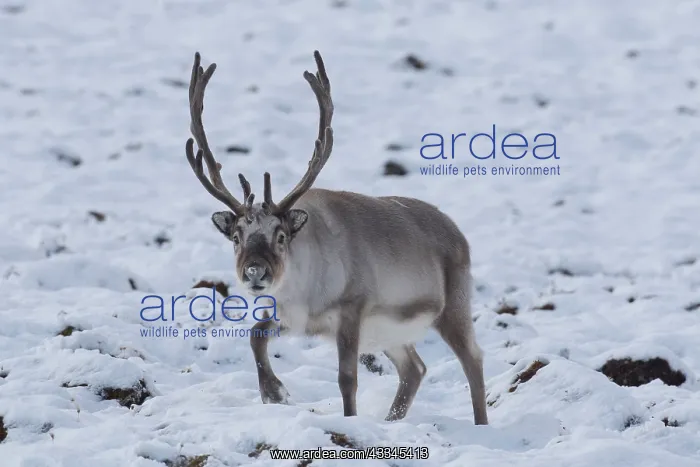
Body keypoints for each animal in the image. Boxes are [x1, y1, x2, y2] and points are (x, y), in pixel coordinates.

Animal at [184, 50, 488, 425]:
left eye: (281, 236)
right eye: (236, 236)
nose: (255, 272)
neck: (306, 290)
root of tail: (458, 233)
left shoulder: (352, 310)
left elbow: (347, 379)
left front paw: (348, 418)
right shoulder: (293, 317)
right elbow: (255, 335)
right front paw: (275, 392)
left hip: (453, 306)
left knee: (472, 360)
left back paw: (481, 424)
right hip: (390, 333)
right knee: (414, 369)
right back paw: (391, 420)